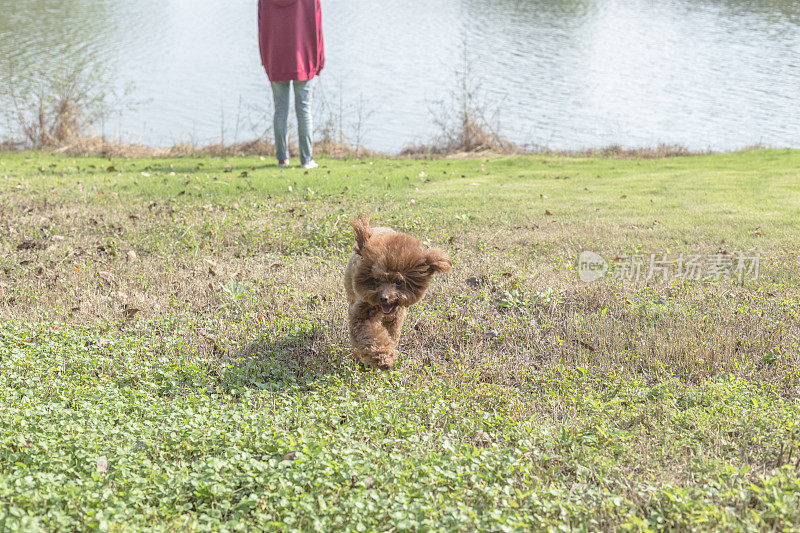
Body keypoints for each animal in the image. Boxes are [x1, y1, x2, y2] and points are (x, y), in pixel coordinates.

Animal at [346, 214, 454, 368]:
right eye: (376, 279)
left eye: (398, 281)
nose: (383, 298)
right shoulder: (361, 313)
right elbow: (370, 334)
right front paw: (383, 358)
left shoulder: (395, 318)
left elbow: (391, 335)